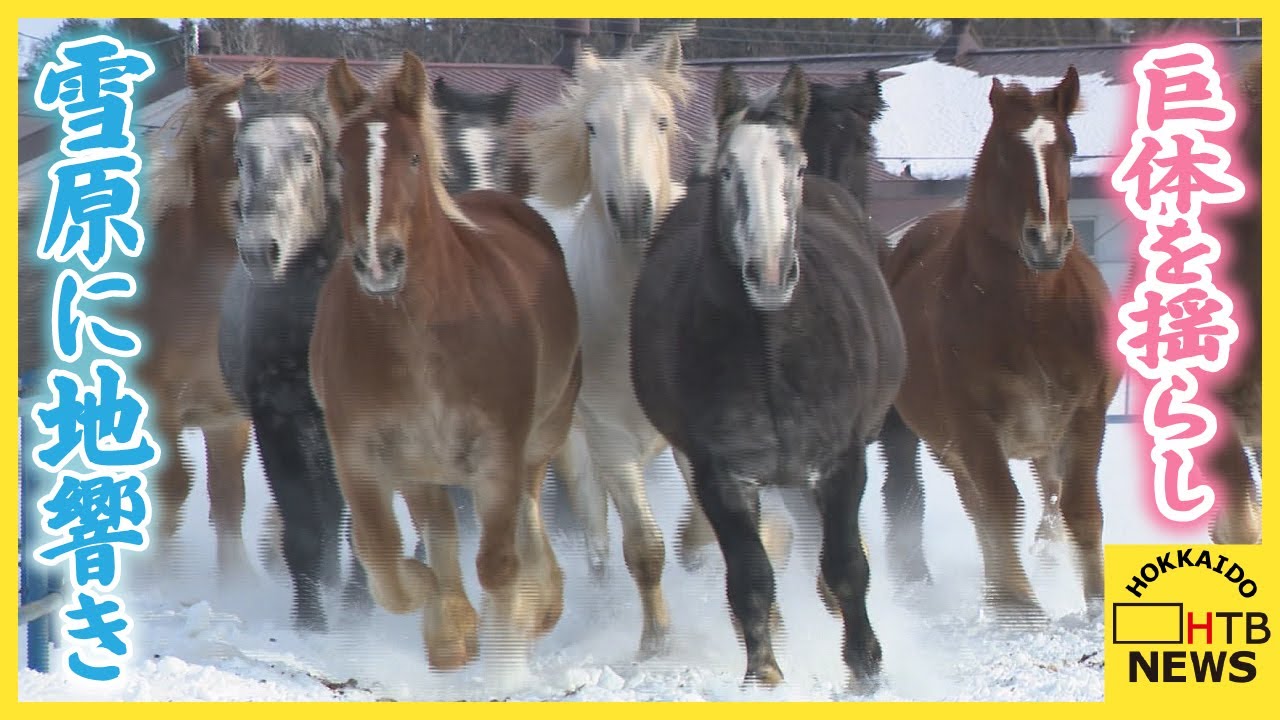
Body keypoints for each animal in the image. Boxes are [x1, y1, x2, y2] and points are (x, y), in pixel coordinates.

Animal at [218, 76, 371, 632]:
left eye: (307, 155)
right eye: (241, 158)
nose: (261, 251)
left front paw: (359, 609)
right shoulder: (278, 422)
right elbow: (305, 524)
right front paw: (310, 621)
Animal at [309, 53, 581, 679]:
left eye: (413, 156)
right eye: (341, 158)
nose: (379, 260)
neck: (419, 334)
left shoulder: (498, 453)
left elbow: (499, 564)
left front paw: (505, 666)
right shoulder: (361, 453)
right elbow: (382, 554)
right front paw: (447, 621)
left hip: (541, 436)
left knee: (527, 516)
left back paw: (542, 603)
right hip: (423, 465)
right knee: (442, 530)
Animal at [520, 27, 700, 659]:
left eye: (663, 121)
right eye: (592, 127)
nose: (633, 213)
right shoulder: (609, 441)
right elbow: (643, 546)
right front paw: (657, 644)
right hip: (569, 450)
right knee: (596, 541)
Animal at [630, 64, 906, 691]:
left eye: (795, 168)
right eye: (729, 170)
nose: (771, 273)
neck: (771, 351)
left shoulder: (841, 460)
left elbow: (846, 565)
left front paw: (866, 668)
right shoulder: (722, 474)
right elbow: (750, 578)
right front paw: (765, 673)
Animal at [879, 66, 1118, 622]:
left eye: (1069, 147)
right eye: (1007, 152)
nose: (1045, 241)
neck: (1031, 314)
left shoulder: (1085, 413)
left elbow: (1080, 505)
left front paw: (1097, 598)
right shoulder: (973, 425)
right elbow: (999, 505)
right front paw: (1016, 603)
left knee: (1047, 495)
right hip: (950, 444)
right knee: (979, 504)